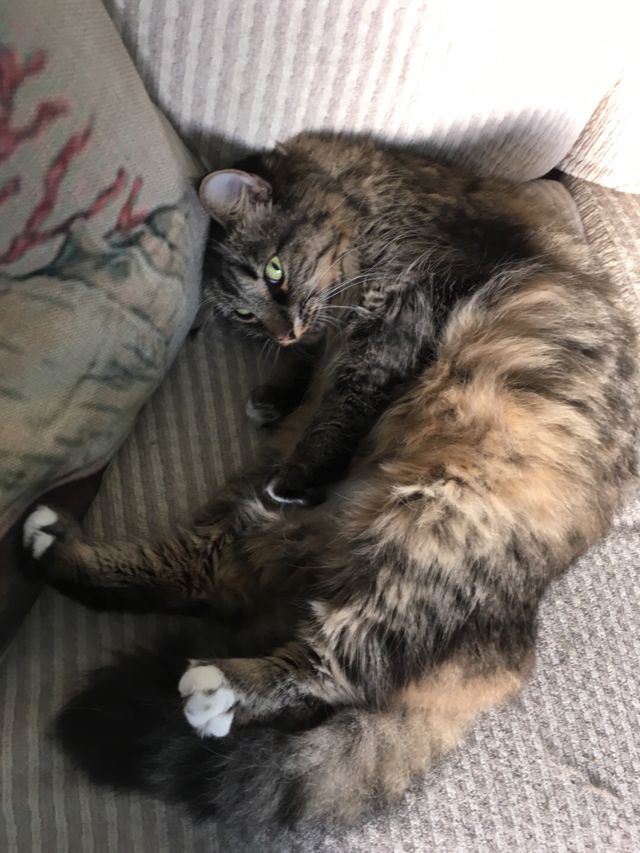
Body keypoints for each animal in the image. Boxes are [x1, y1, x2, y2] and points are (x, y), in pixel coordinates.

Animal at [23, 133, 638, 829]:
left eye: (274, 272)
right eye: (247, 313)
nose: (285, 328)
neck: (373, 199)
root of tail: (508, 651)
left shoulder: (404, 309)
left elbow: (346, 401)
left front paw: (301, 436)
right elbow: (315, 377)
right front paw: (277, 395)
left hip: (422, 535)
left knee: (336, 668)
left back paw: (218, 688)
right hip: (275, 528)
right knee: (201, 579)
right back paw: (50, 544)